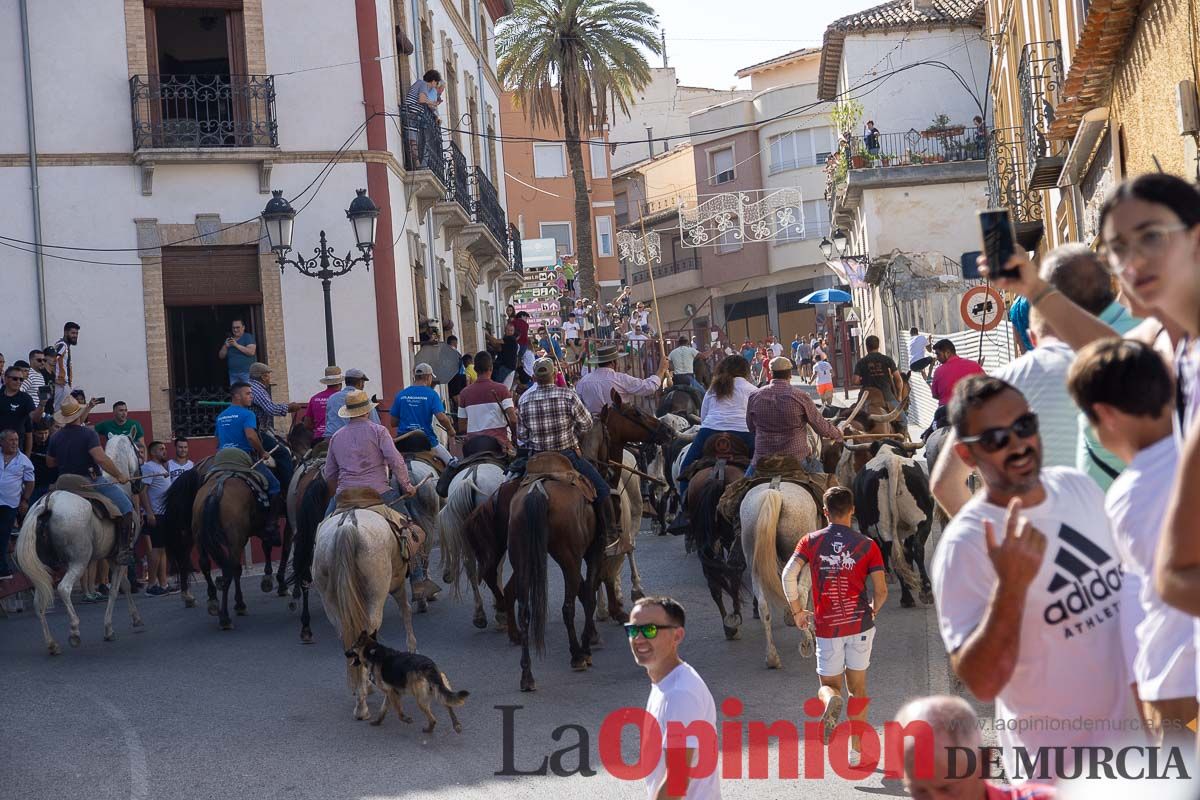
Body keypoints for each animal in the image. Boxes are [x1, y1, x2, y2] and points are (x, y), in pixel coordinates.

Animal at [15, 434, 141, 652]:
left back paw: (51, 643)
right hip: (79, 561)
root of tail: (47, 503)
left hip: (44, 567)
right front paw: (109, 628)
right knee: (64, 589)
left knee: (40, 599)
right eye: (138, 451)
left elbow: (124, 585)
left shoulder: (112, 558)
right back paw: (74, 631)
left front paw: (134, 618)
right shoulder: (118, 558)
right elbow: (116, 590)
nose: (138, 485)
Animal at [314, 510, 417, 724]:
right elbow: (406, 609)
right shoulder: (397, 583)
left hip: (331, 602)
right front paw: (412, 647)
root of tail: (348, 524)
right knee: (367, 632)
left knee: (346, 636)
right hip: (377, 592)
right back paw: (362, 704)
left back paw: (360, 695)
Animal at [506, 470, 604, 695]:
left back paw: (527, 677)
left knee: (524, 613)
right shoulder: (593, 553)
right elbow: (589, 597)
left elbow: (586, 593)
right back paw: (577, 655)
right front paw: (587, 648)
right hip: (570, 558)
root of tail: (537, 491)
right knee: (568, 607)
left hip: (522, 561)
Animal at [739, 482, 825, 671]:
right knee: (801, 592)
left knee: (764, 605)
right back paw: (806, 641)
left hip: (754, 561)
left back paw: (772, 658)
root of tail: (775, 491)